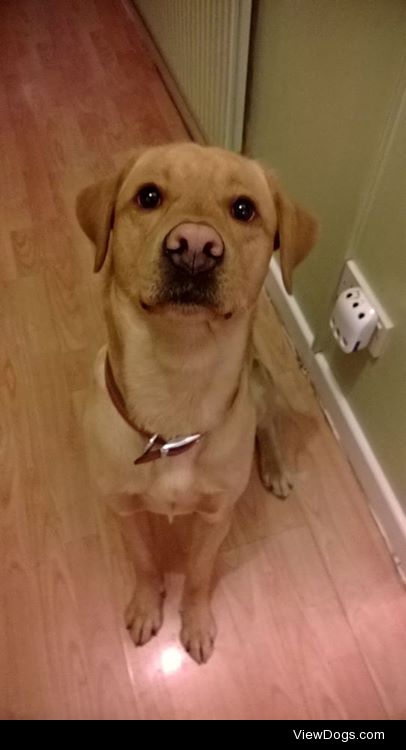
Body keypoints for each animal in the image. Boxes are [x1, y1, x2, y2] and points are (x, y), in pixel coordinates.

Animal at [76, 144, 318, 668]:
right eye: (148, 196)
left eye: (244, 209)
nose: (194, 246)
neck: (178, 378)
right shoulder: (124, 509)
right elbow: (145, 563)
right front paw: (148, 607)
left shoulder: (215, 517)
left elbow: (200, 573)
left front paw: (197, 622)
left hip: (259, 384)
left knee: (267, 424)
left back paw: (275, 468)